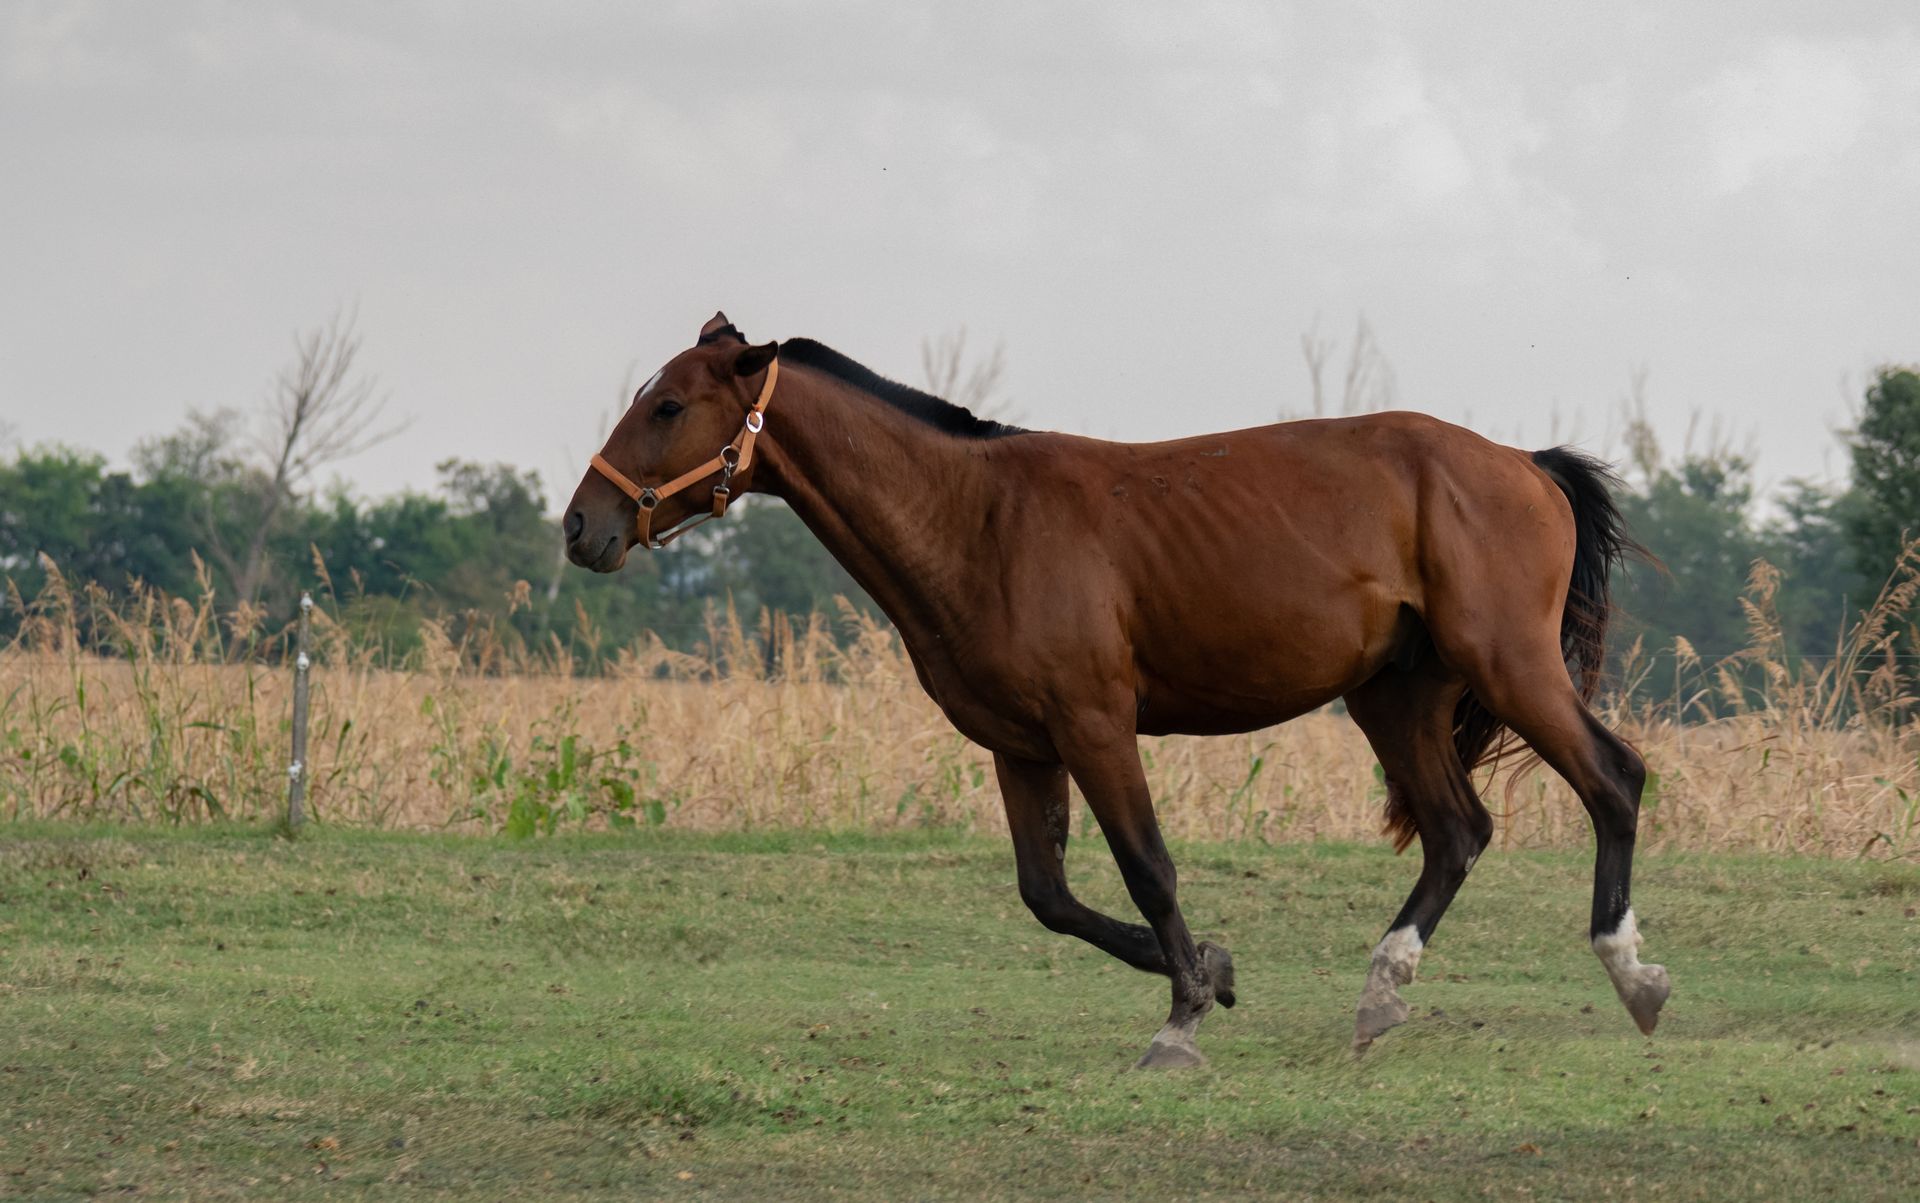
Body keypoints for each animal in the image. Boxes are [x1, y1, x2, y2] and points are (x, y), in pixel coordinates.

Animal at [563, 312, 1669, 1068]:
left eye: (668, 405)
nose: (582, 527)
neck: (981, 519)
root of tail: (1525, 463)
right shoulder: (1021, 745)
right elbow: (1049, 895)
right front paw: (1213, 968)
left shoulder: (1097, 726)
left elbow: (1149, 868)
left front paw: (1181, 1021)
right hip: (1396, 698)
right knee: (1457, 830)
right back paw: (1382, 991)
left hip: (1509, 668)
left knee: (1613, 781)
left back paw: (1633, 974)